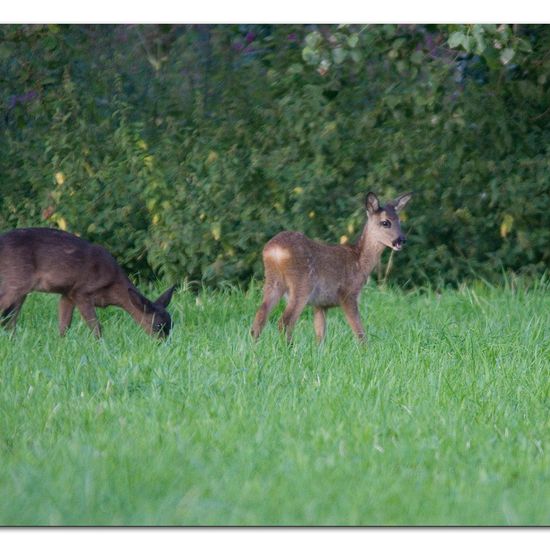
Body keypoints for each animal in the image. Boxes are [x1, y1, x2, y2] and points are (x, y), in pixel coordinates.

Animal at [0, 229, 176, 340]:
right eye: (157, 325)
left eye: (171, 325)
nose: (163, 344)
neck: (112, 290)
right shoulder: (81, 291)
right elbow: (97, 327)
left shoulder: (67, 293)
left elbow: (64, 327)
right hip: (16, 281)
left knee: (9, 322)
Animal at [252, 192, 412, 342]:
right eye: (385, 222)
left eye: (399, 221)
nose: (401, 240)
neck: (360, 262)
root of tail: (274, 251)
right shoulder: (348, 293)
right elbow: (360, 332)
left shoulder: (320, 304)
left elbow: (320, 335)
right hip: (301, 284)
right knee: (285, 321)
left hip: (273, 281)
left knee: (259, 317)